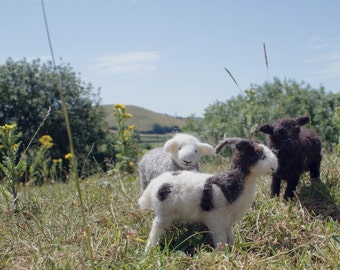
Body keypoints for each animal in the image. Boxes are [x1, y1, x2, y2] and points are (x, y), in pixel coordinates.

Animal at [139, 138, 278, 250]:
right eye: (259, 154)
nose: (274, 168)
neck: (228, 182)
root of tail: (155, 184)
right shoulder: (216, 223)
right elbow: (221, 241)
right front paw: (224, 254)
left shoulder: (228, 224)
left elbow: (230, 238)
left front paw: (234, 249)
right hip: (163, 216)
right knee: (155, 232)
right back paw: (149, 251)